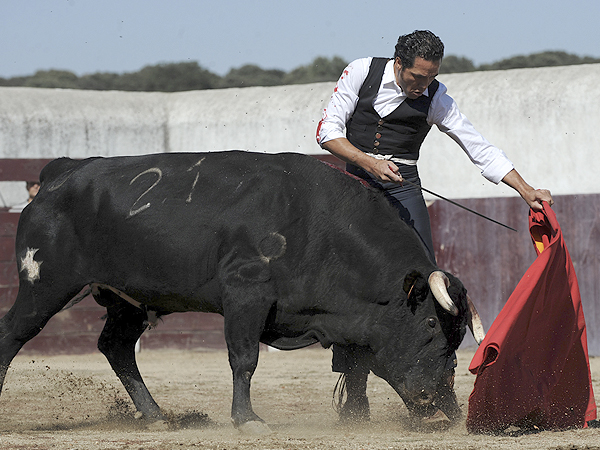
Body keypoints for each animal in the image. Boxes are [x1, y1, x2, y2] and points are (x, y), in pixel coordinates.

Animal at [0, 152, 480, 432]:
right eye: (432, 323)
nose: (441, 394)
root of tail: (61, 172)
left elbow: (357, 359)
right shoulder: (246, 294)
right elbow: (244, 359)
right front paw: (247, 420)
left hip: (127, 300)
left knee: (116, 346)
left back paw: (156, 418)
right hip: (45, 285)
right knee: (12, 334)